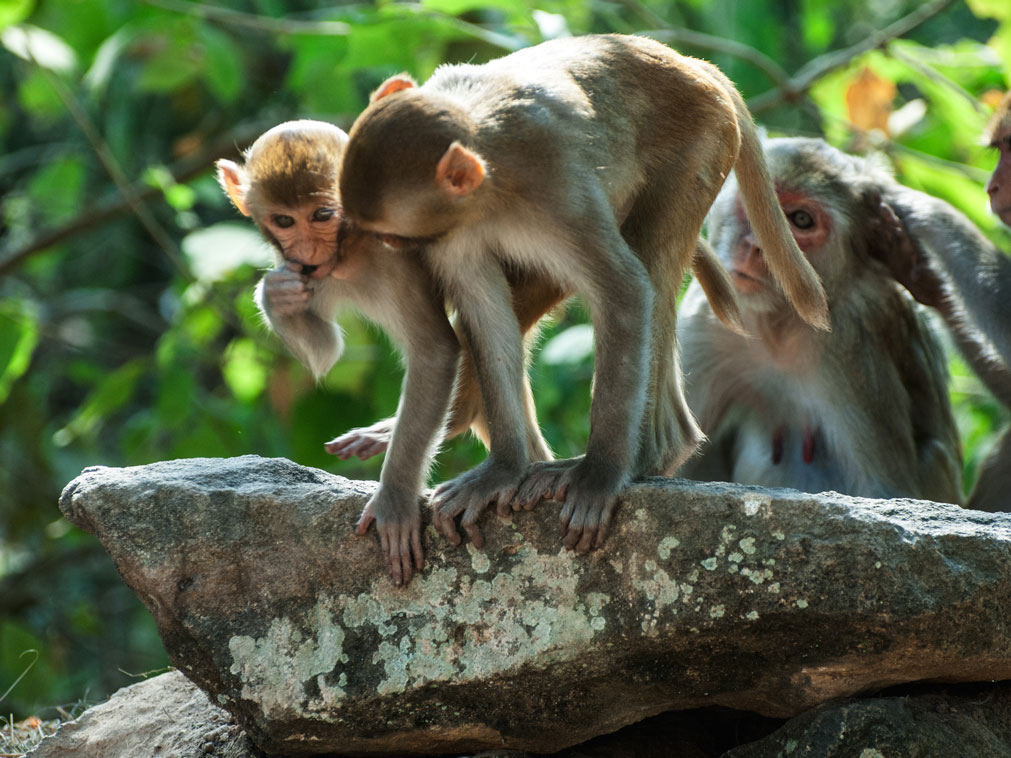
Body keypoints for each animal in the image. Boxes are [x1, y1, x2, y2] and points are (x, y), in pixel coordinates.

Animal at [216, 118, 566, 586]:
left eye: (322, 214)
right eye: (284, 220)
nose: (308, 251)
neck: (349, 247)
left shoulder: (393, 261)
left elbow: (435, 351)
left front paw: (395, 501)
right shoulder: (315, 274)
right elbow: (324, 351)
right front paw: (276, 293)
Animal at [339, 32, 829, 553]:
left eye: (390, 237)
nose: (378, 258)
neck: (488, 178)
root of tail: (691, 63)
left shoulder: (556, 187)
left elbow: (624, 289)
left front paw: (599, 476)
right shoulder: (454, 232)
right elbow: (485, 311)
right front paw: (503, 470)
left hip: (702, 146)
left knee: (651, 264)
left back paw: (651, 455)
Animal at [675, 138, 958, 505]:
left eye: (800, 220)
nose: (756, 247)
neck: (778, 326)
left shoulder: (855, 335)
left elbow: (887, 489)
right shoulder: (706, 319)